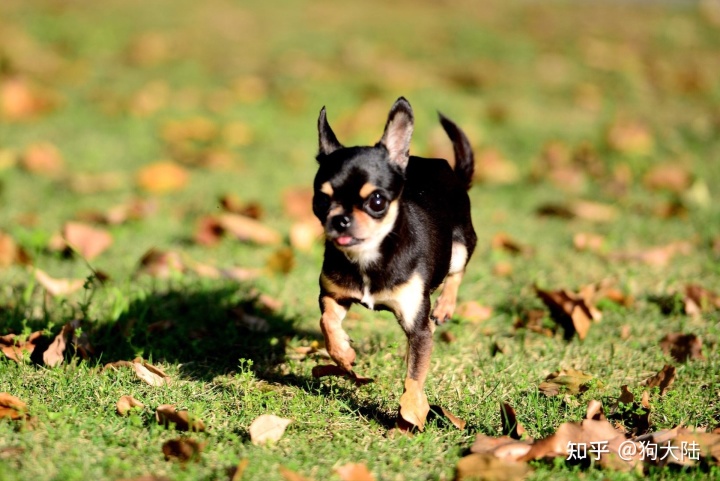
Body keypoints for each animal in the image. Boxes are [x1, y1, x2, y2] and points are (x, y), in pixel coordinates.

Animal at [310, 96, 476, 428]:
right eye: (320, 201)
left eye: (377, 201)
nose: (341, 219)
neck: (369, 256)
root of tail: (451, 172)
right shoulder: (334, 295)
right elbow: (327, 323)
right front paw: (344, 353)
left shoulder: (418, 328)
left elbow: (414, 377)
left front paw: (409, 415)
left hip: (461, 245)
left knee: (456, 272)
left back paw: (445, 307)